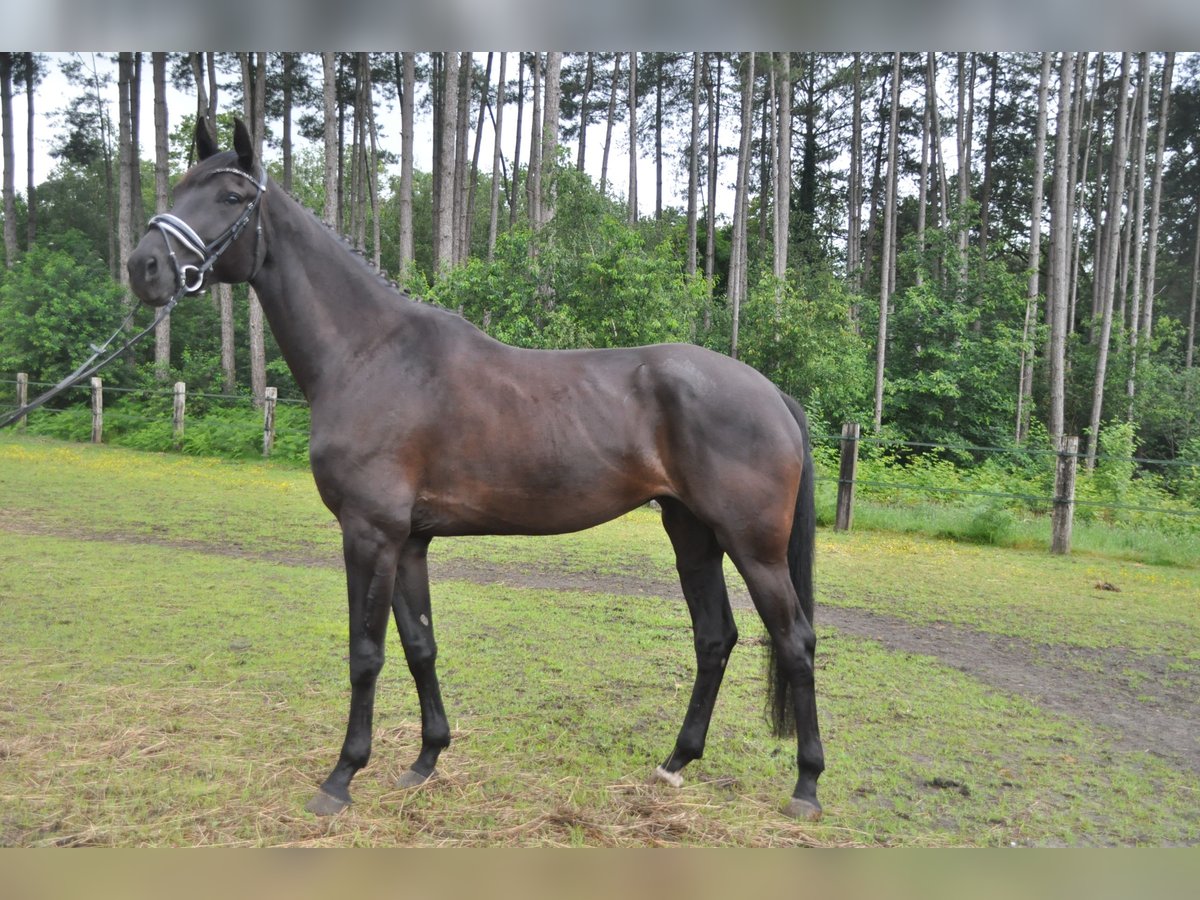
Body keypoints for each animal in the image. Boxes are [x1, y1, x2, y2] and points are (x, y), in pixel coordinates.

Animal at [131, 120, 825, 825]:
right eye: (181, 187)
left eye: (229, 195)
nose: (143, 267)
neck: (369, 355)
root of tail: (772, 393)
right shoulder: (408, 541)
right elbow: (420, 646)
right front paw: (425, 759)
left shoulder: (369, 533)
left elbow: (365, 654)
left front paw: (342, 776)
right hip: (692, 535)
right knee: (715, 638)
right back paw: (675, 762)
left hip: (754, 546)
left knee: (795, 640)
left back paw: (806, 785)